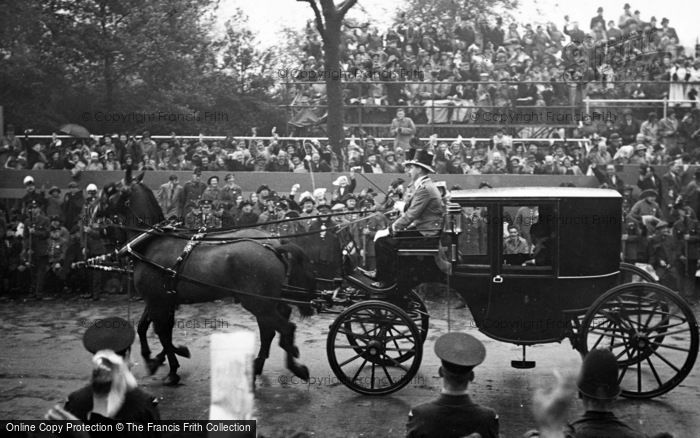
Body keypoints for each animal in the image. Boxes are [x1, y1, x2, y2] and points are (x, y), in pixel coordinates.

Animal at [97, 169, 316, 384]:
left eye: (110, 190)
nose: (95, 214)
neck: (153, 241)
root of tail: (274, 246)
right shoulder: (161, 300)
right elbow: (148, 328)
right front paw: (161, 358)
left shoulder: (156, 301)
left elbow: (161, 333)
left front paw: (170, 366)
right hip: (267, 301)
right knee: (274, 325)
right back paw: (268, 363)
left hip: (258, 302)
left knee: (283, 328)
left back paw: (292, 367)